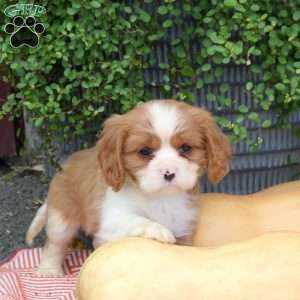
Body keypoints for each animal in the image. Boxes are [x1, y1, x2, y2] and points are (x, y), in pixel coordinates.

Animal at [26, 98, 232, 274]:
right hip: (61, 217)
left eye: (186, 148)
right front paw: (158, 230)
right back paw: (48, 272)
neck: (160, 199)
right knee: (53, 244)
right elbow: (137, 220)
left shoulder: (183, 227)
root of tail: (65, 165)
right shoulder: (110, 222)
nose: (169, 173)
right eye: (144, 151)